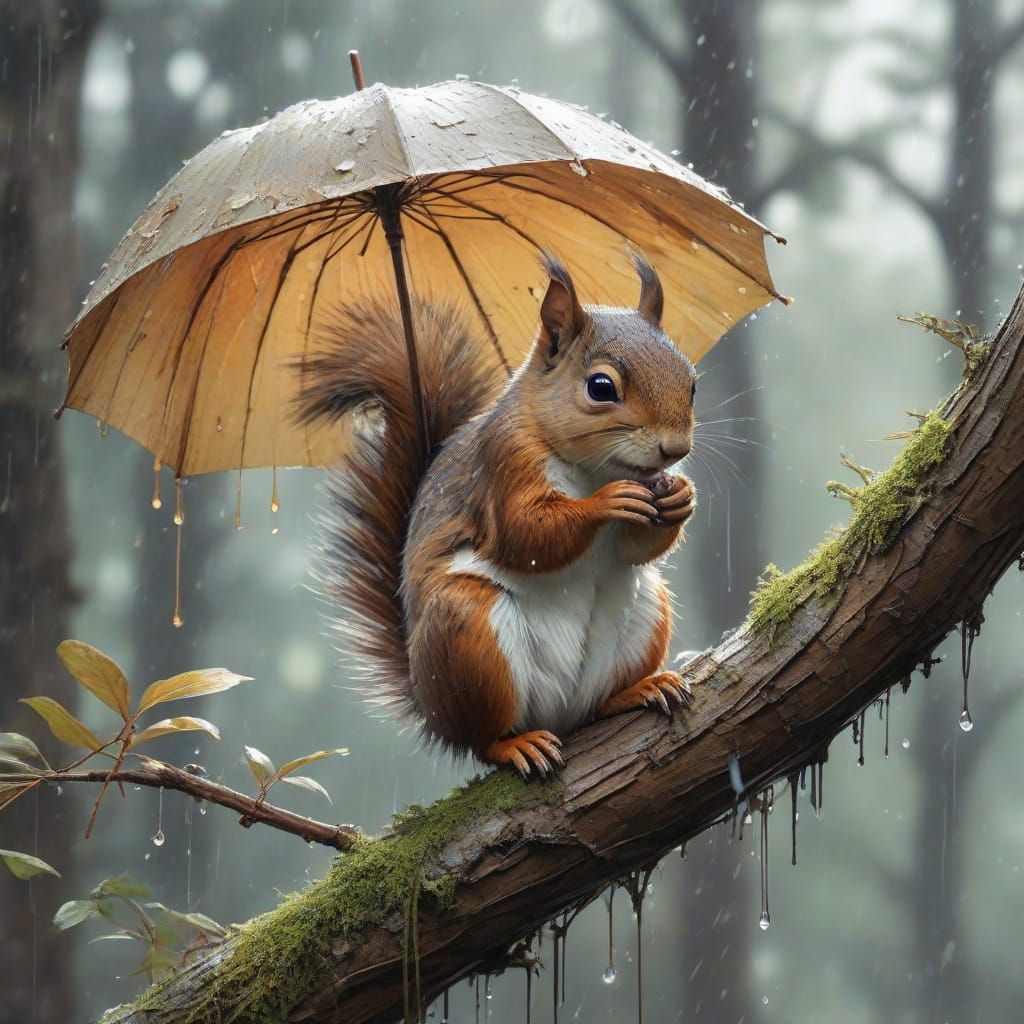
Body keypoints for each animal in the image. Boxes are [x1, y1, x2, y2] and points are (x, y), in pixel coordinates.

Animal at [297, 252, 697, 778]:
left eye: (692, 382)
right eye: (601, 387)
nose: (676, 450)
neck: (595, 468)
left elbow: (634, 549)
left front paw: (681, 498)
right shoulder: (505, 463)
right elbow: (524, 536)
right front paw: (606, 503)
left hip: (647, 612)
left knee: (597, 705)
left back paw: (639, 688)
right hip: (469, 636)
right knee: (483, 737)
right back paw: (515, 745)